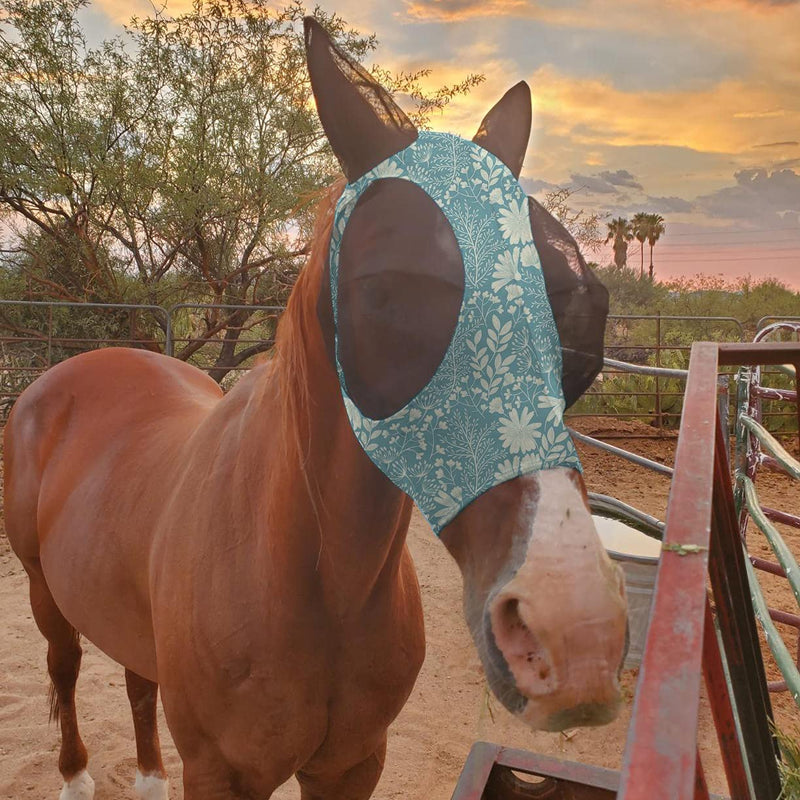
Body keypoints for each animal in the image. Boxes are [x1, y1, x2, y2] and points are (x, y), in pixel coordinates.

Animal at [3, 18, 628, 800]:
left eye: (585, 310)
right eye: (384, 290)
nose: (578, 637)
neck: (317, 584)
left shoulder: (353, 763)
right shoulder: (220, 772)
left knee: (138, 682)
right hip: (44, 595)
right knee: (64, 670)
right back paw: (76, 778)